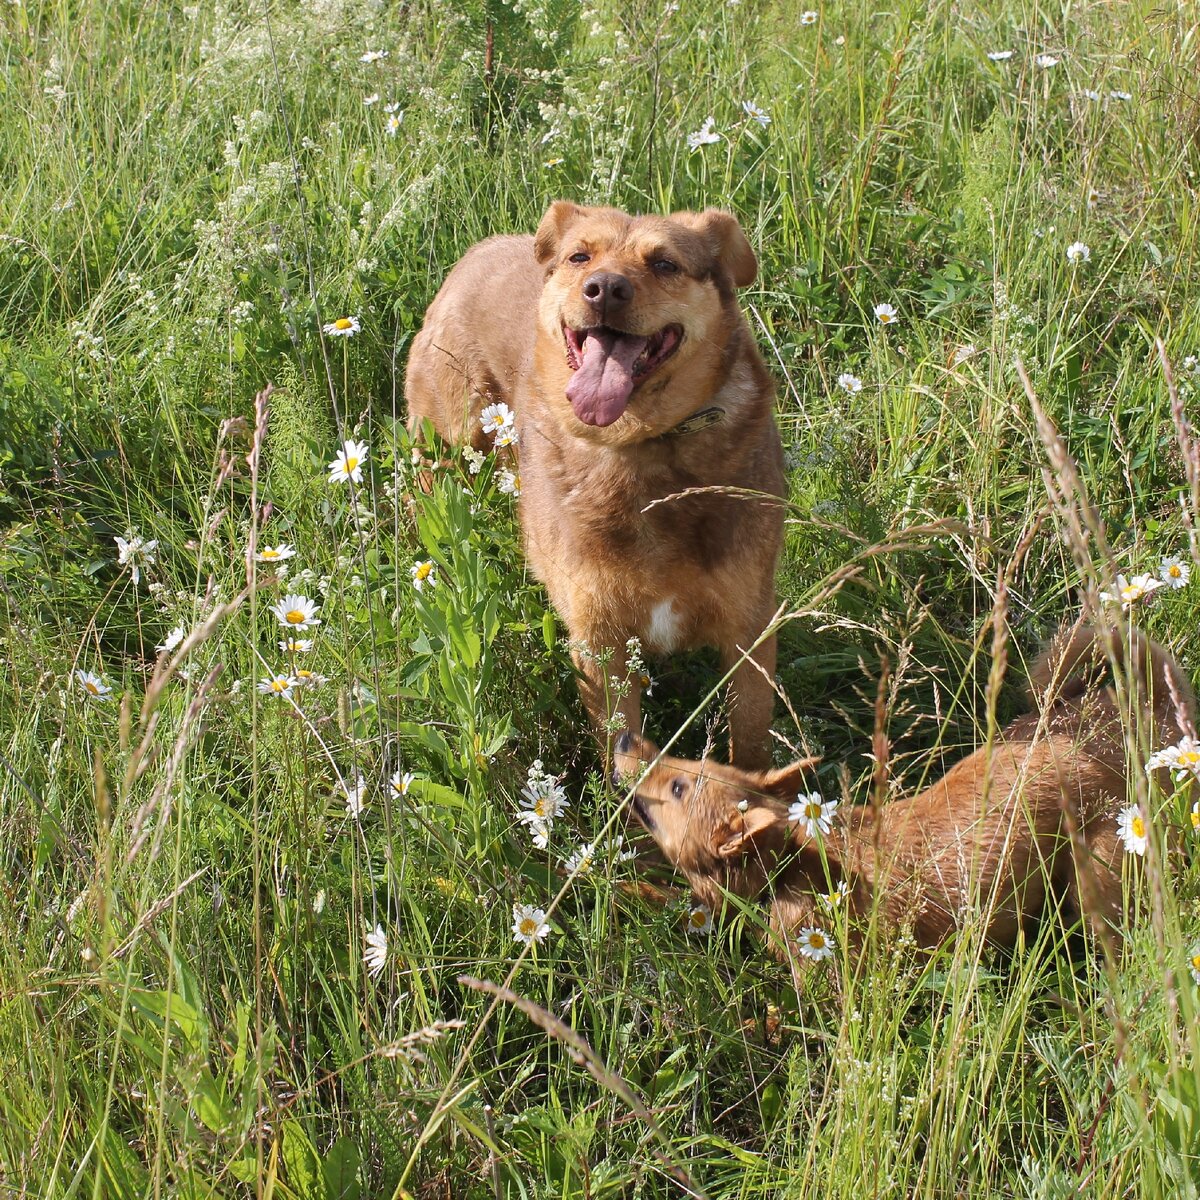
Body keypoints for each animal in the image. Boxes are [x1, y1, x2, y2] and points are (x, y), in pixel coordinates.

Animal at [408, 201, 787, 763]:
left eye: (665, 264)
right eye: (579, 257)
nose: (604, 288)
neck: (641, 445)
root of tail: (481, 250)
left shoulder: (751, 628)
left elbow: (751, 739)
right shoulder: (599, 641)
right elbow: (627, 758)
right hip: (445, 454)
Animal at [614, 624, 1195, 960]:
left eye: (678, 784)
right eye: (693, 761)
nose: (623, 738)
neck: (794, 858)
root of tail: (1147, 706)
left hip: (1100, 880)